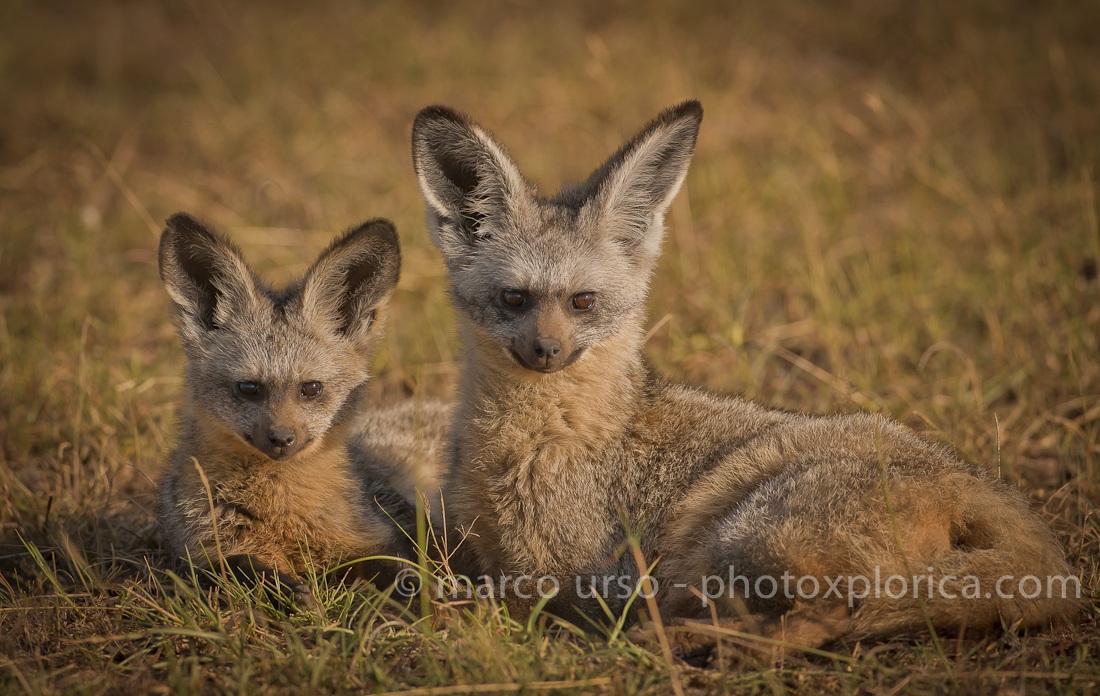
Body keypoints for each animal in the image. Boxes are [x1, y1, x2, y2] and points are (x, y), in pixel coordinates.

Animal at [157, 212, 446, 609]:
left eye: (311, 388)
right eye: (249, 388)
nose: (281, 438)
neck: (285, 513)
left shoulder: (374, 534)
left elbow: (403, 573)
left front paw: (435, 603)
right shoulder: (198, 556)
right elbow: (241, 568)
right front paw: (288, 590)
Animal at [410, 101, 1078, 649]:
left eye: (582, 302)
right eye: (514, 299)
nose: (546, 351)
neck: (529, 444)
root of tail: (991, 491)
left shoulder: (573, 578)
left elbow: (494, 601)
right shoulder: (478, 547)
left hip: (745, 536)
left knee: (822, 620)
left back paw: (671, 641)